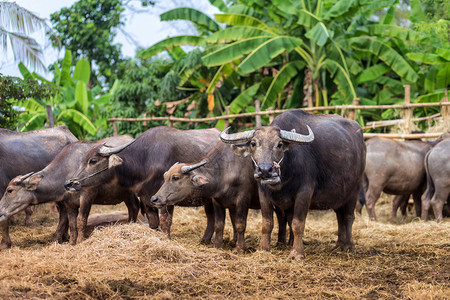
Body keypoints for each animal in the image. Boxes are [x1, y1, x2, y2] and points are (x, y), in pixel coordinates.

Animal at [0, 135, 139, 245]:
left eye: (10, 190)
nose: (0, 209)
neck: (66, 170)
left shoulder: (87, 196)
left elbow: (80, 220)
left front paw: (80, 241)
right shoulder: (68, 203)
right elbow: (71, 223)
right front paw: (71, 242)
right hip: (127, 194)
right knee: (133, 207)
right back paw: (130, 223)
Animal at [64, 125, 221, 243]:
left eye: (93, 161)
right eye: (82, 160)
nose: (69, 183)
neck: (144, 160)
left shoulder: (166, 198)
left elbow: (165, 222)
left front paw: (166, 240)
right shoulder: (147, 199)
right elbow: (153, 223)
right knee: (211, 217)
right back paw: (205, 240)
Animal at [148, 141, 288, 253]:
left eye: (175, 177)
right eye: (165, 176)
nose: (154, 199)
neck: (225, 171)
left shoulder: (243, 200)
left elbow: (240, 224)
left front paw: (240, 248)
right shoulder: (217, 201)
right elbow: (219, 224)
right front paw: (218, 245)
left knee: (283, 218)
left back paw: (283, 244)